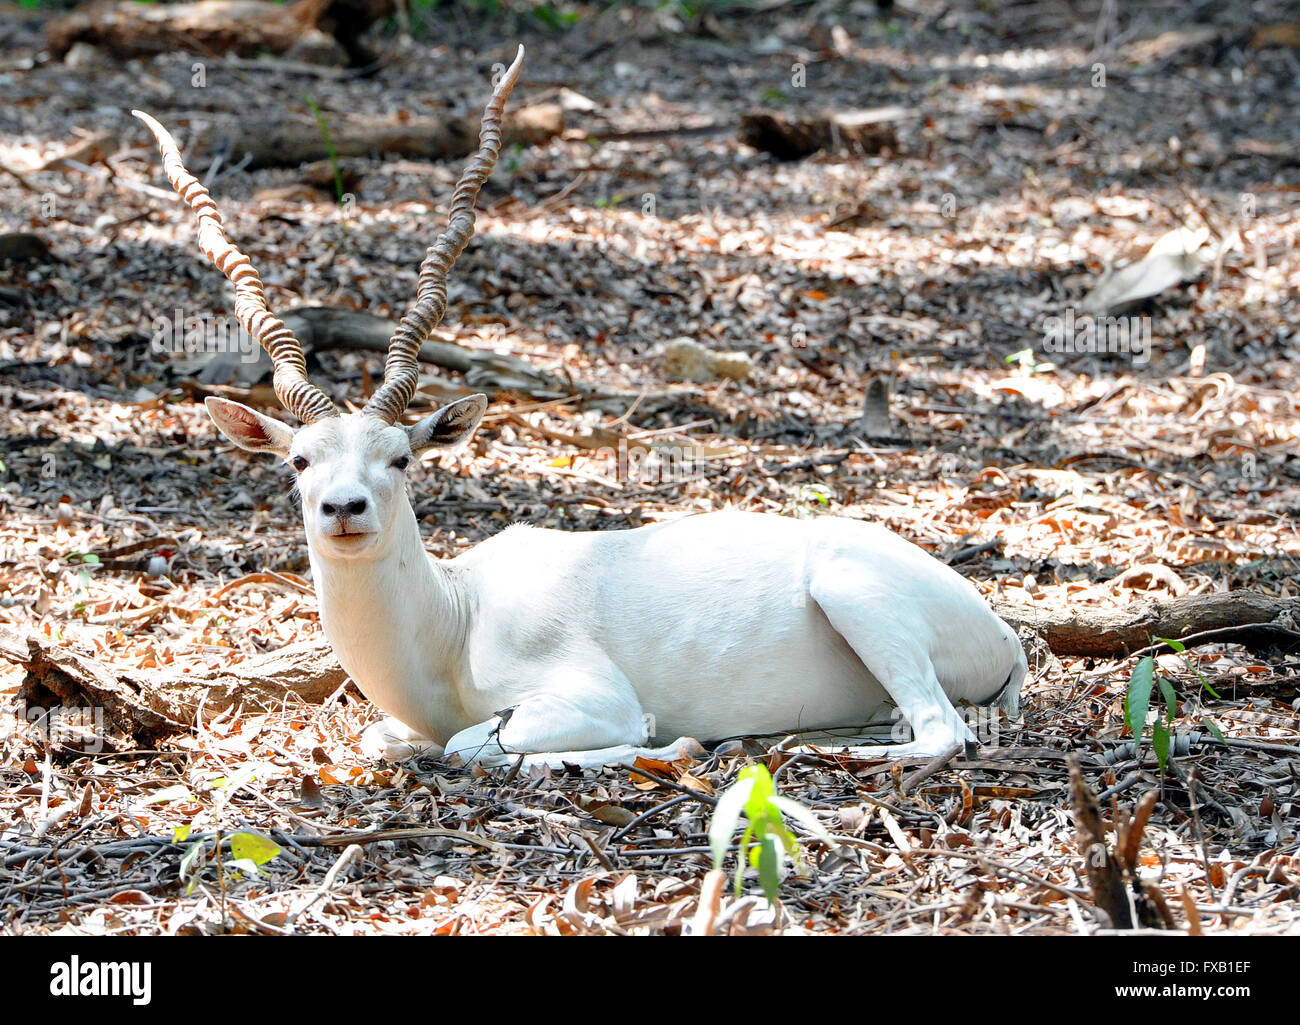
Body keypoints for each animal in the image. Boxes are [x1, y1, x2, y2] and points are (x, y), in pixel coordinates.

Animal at [134, 48, 1024, 770]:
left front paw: (668, 742)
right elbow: (387, 735)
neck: (452, 623)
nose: (344, 508)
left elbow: (479, 741)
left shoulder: (591, 697)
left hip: (857, 598)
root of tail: (1004, 632)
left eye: (402, 457)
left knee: (942, 731)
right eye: (298, 459)